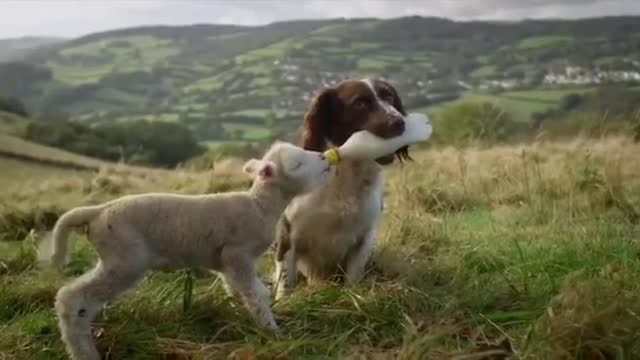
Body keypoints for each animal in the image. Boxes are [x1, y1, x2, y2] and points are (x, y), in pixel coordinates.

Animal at [41, 142, 330, 360]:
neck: (260, 206)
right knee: (72, 298)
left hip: (116, 257)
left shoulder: (225, 262)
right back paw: (83, 352)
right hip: (124, 258)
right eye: (297, 164)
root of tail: (97, 213)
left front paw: (240, 318)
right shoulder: (238, 254)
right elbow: (257, 294)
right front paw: (274, 332)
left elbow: (237, 291)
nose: (325, 157)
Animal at [270, 78, 410, 298]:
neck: (344, 176)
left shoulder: (365, 237)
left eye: (389, 96)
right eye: (360, 103)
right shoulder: (288, 235)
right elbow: (285, 283)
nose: (399, 122)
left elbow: (353, 278)